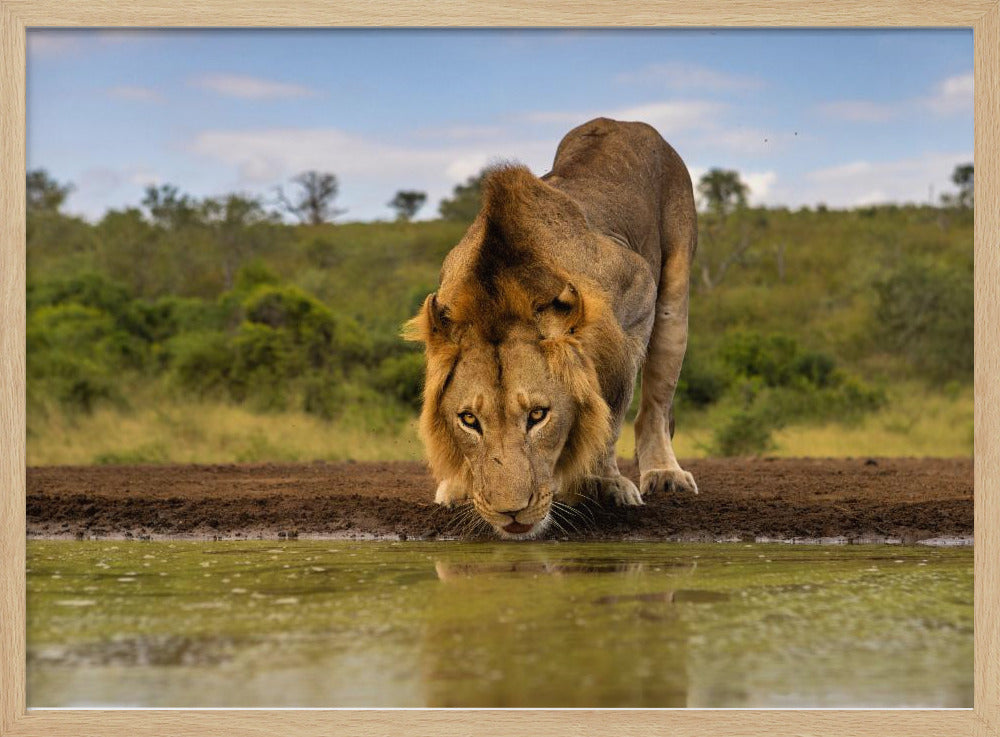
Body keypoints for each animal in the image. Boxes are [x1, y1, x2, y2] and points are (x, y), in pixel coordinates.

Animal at [405, 117, 698, 539]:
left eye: (538, 415)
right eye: (469, 420)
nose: (510, 513)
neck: (502, 293)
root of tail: (624, 121)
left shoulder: (638, 293)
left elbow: (611, 412)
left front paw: (603, 482)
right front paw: (458, 485)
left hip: (674, 293)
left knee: (655, 405)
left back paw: (664, 473)